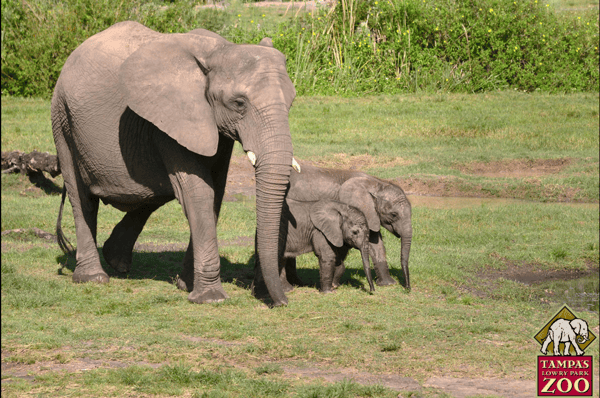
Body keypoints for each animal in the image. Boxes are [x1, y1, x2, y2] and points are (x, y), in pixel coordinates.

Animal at [52, 21, 296, 306]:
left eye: (291, 102)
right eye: (239, 103)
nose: (282, 302)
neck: (218, 51)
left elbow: (215, 191)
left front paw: (186, 285)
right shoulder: (172, 118)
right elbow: (199, 192)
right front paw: (211, 298)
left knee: (151, 193)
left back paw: (116, 261)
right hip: (62, 118)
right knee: (82, 198)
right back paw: (94, 278)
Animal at [286, 162, 412, 290]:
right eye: (394, 214)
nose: (407, 288)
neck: (376, 184)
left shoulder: (370, 214)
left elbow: (376, 242)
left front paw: (388, 284)